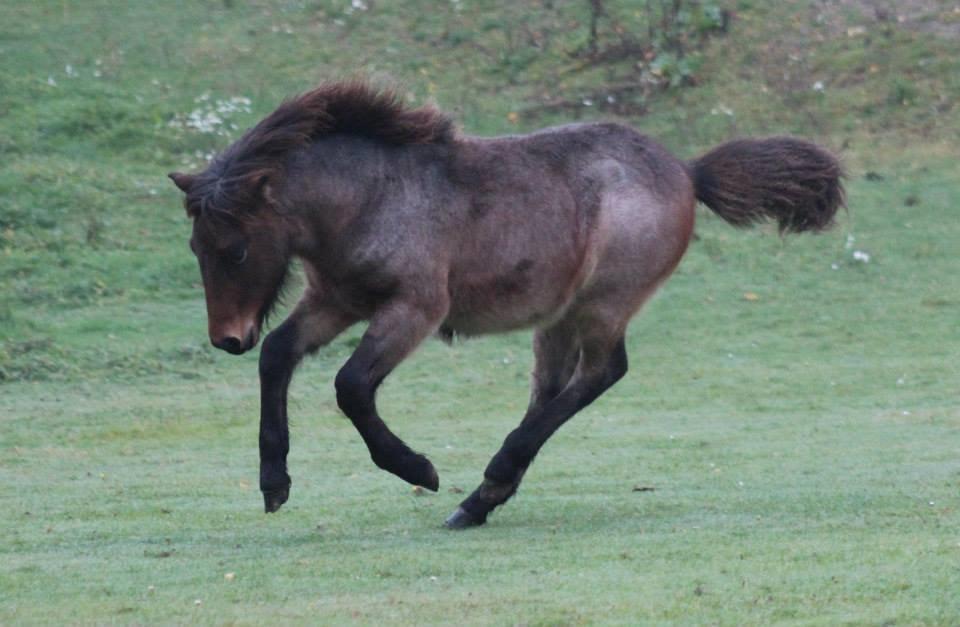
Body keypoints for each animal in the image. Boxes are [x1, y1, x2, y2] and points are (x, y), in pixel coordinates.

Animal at [169, 79, 844, 528]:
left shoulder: (415, 308)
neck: (373, 197)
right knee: (554, 390)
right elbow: (279, 355)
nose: (227, 337)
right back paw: (481, 499)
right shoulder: (336, 298)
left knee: (600, 374)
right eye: (196, 245)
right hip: (559, 316)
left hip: (603, 302)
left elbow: (351, 386)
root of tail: (686, 169)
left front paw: (418, 469)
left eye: (235, 249)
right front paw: (274, 483)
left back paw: (489, 478)